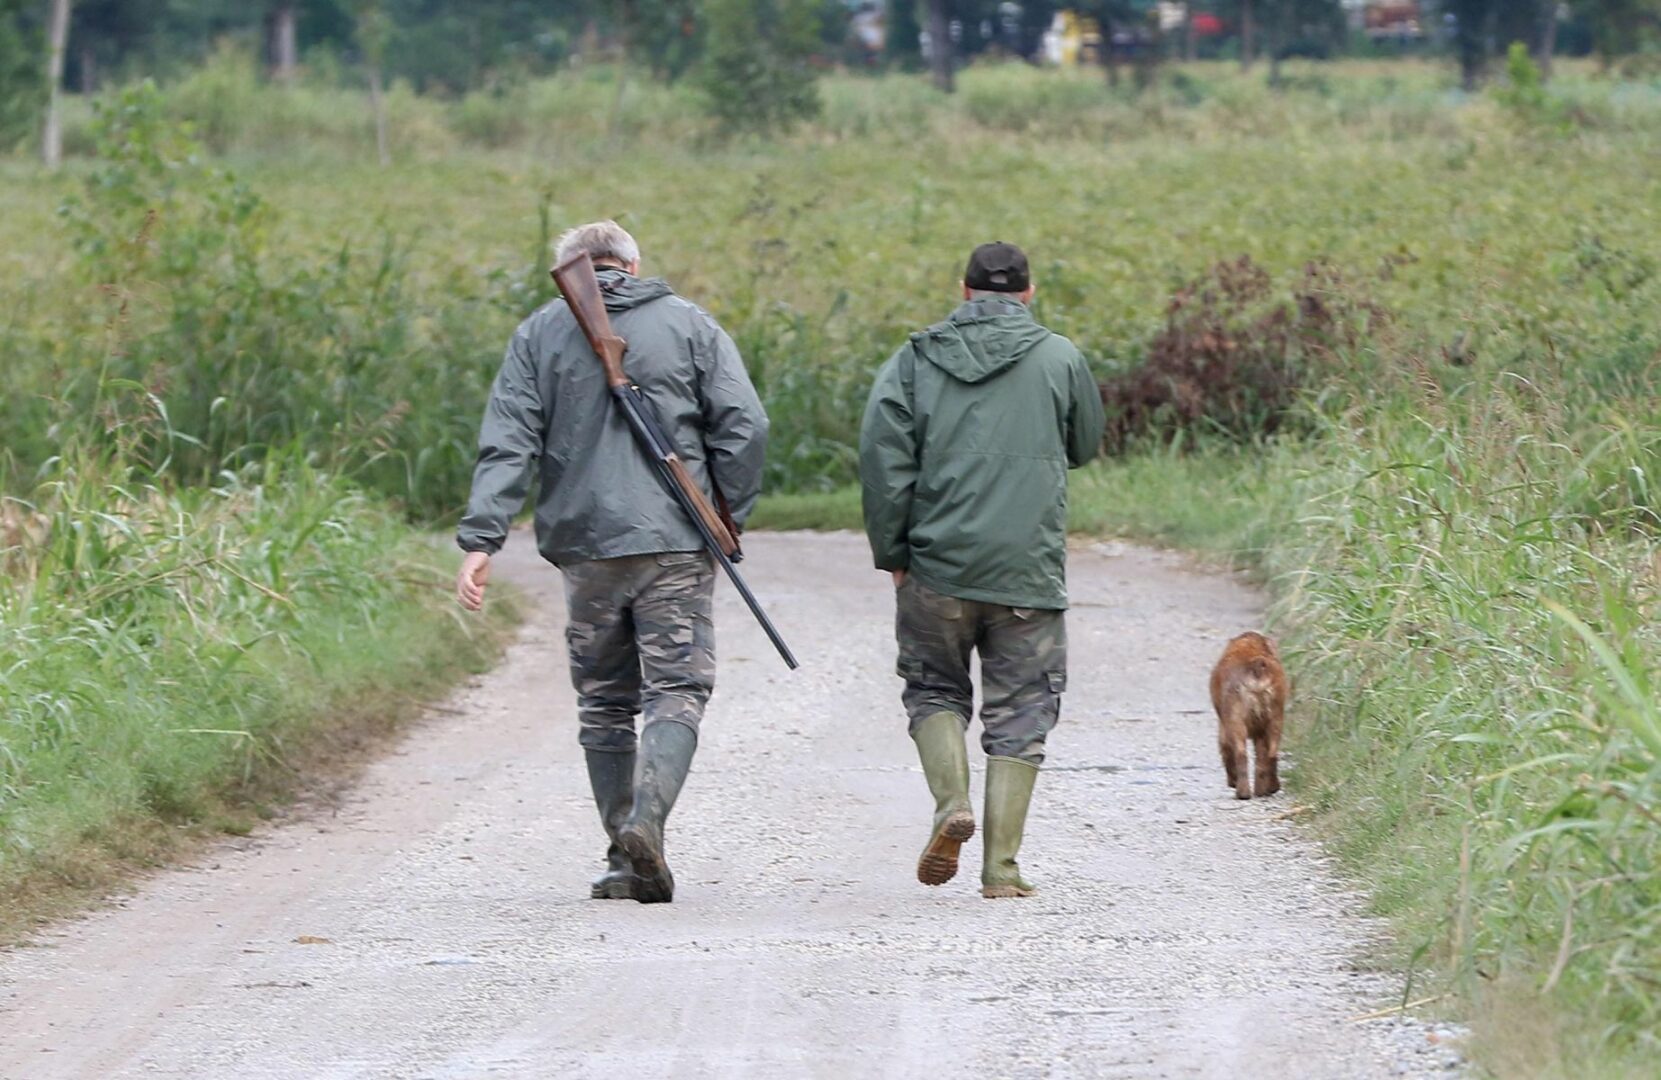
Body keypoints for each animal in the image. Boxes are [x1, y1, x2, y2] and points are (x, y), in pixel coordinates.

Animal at [1215, 628, 1288, 794]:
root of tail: (1256, 666)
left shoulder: (1224, 724)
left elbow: (1225, 749)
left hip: (1235, 721)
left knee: (1240, 754)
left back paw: (1242, 792)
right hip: (1275, 718)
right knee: (1271, 754)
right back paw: (1269, 788)